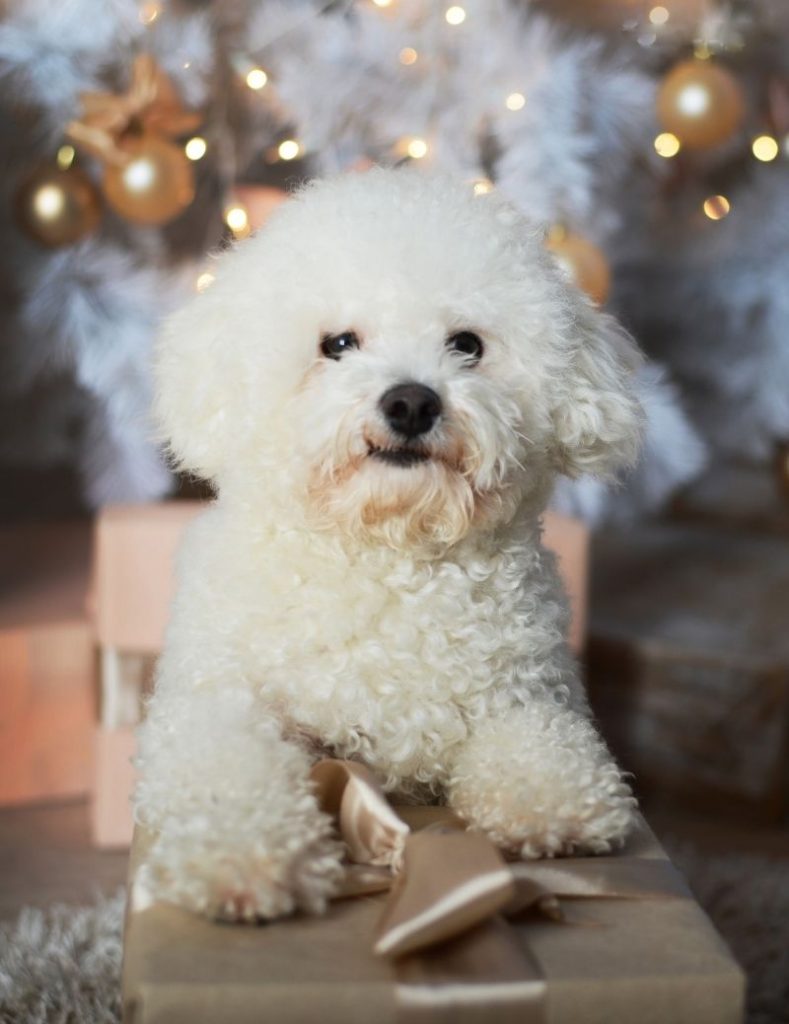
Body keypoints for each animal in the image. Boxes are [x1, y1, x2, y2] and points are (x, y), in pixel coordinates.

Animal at [134, 165, 642, 921]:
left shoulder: (527, 693)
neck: (389, 556)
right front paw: (244, 855)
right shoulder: (211, 703)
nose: (410, 402)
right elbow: (228, 765)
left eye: (466, 344)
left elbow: (541, 741)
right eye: (339, 343)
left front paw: (554, 803)